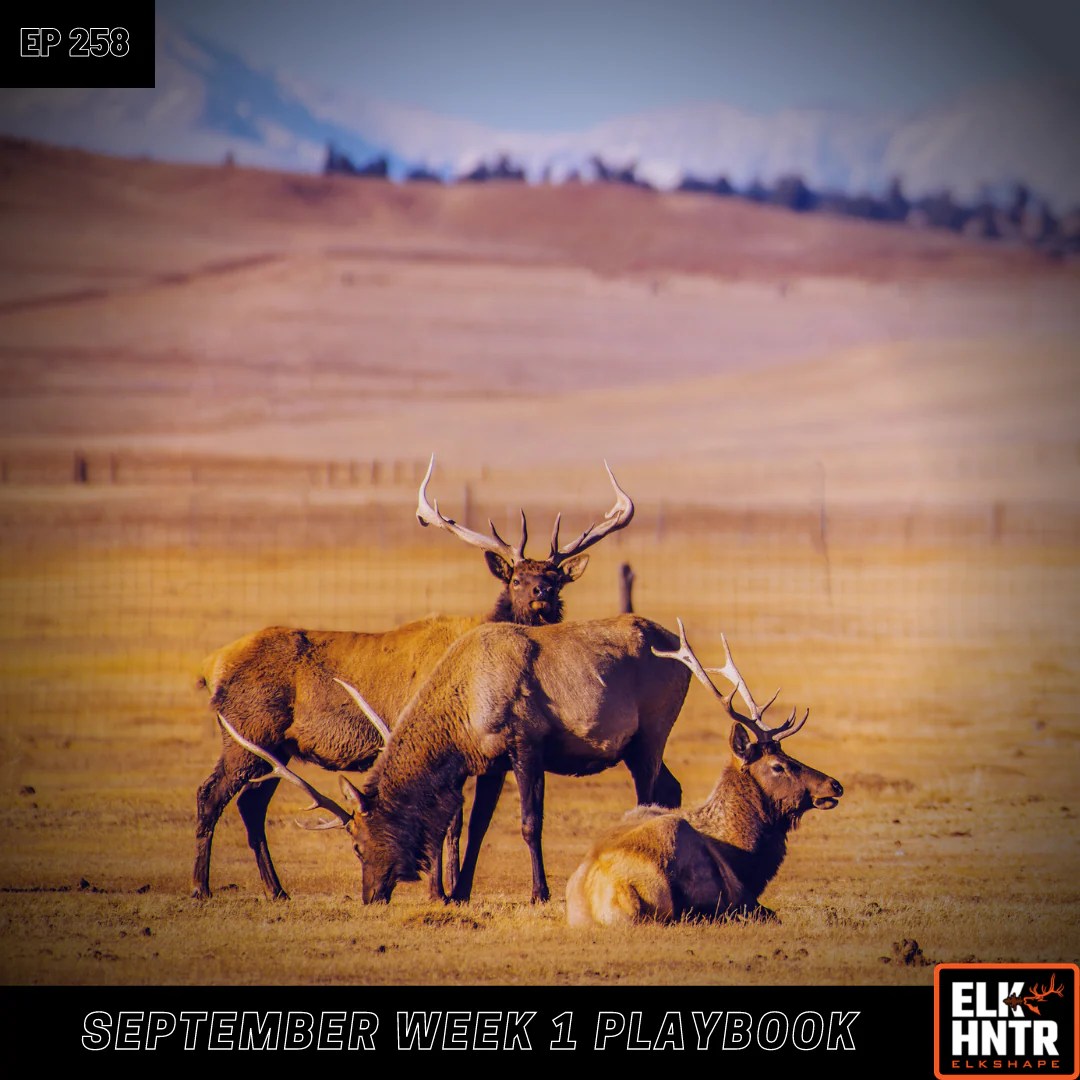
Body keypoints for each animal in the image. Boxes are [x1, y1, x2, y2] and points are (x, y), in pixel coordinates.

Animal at [192, 458, 644, 902]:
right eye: (516, 579)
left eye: (555, 578)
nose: (541, 595)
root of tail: (212, 667)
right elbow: (451, 820)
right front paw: (438, 890)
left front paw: (450, 888)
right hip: (246, 735)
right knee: (211, 795)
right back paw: (201, 886)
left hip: (278, 748)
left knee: (251, 805)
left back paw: (276, 889)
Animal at [215, 611, 692, 904]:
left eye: (356, 845)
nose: (371, 896)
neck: (465, 708)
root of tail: (679, 648)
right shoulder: (492, 761)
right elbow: (477, 824)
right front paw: (459, 890)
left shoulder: (527, 742)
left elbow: (528, 822)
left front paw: (539, 892)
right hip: (639, 745)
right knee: (670, 788)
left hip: (652, 732)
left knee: (650, 795)